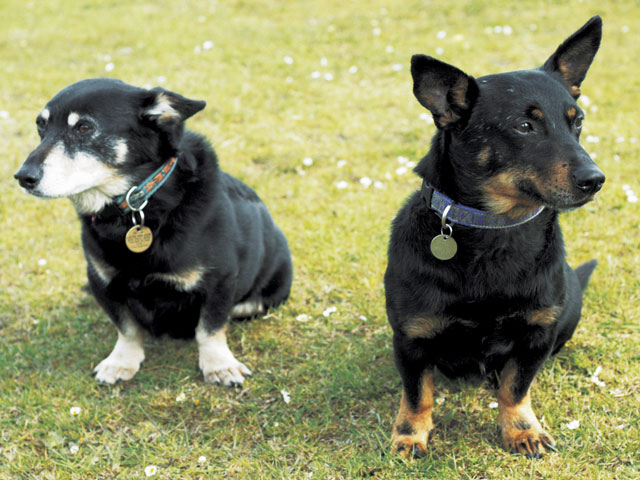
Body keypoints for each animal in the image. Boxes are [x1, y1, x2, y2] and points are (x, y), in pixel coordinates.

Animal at [13, 79, 292, 386]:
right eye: (41, 126)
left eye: (84, 127)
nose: (23, 177)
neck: (138, 206)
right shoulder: (103, 281)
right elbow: (126, 327)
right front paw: (122, 361)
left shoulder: (220, 280)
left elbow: (210, 327)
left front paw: (219, 365)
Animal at [384, 15, 604, 458]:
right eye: (524, 126)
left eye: (578, 121)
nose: (595, 180)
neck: (495, 230)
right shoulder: (412, 338)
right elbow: (418, 394)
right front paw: (410, 434)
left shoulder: (538, 334)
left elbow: (515, 389)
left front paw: (521, 430)